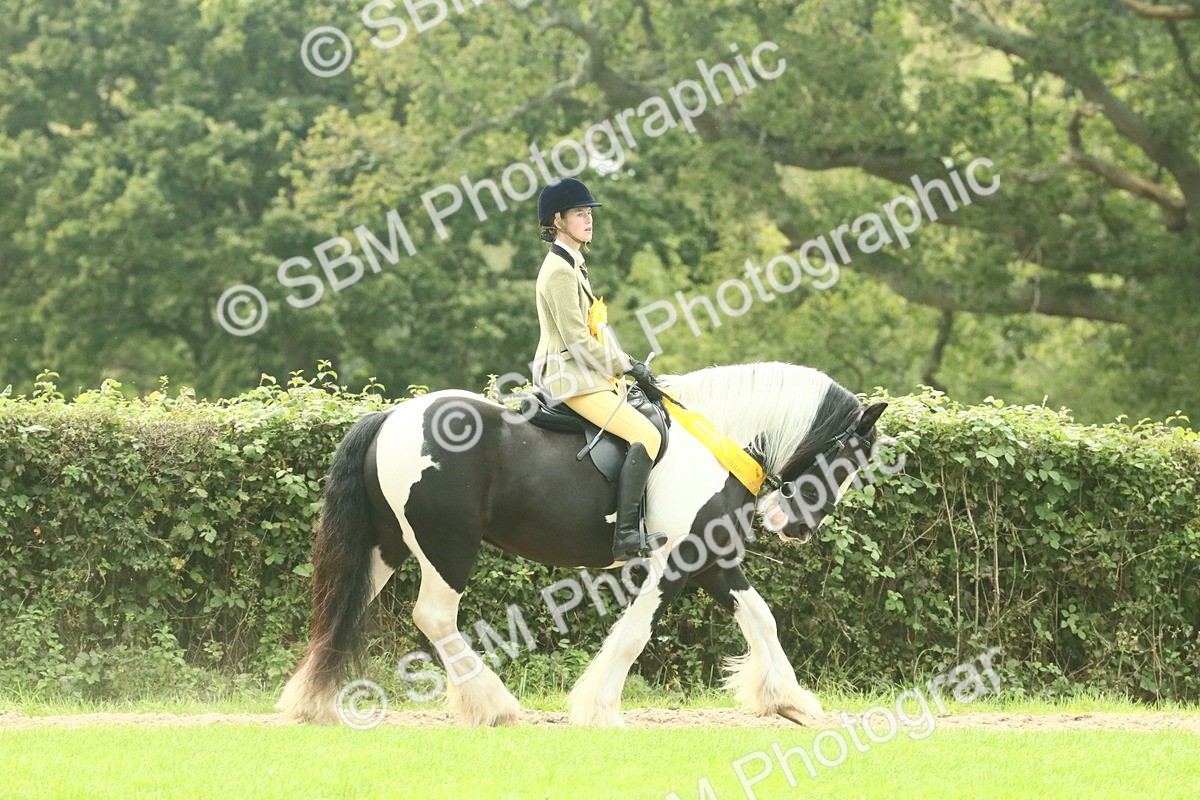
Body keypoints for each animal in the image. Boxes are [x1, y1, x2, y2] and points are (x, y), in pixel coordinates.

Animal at [278, 360, 888, 727]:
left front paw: (789, 700)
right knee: (433, 616)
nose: (796, 527)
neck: (715, 440)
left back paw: (314, 702)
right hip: (448, 546)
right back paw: (494, 706)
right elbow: (637, 631)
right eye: (849, 461)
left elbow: (760, 616)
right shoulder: (681, 558)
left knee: (345, 607)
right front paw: (599, 708)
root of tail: (392, 417)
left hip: (389, 545)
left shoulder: (712, 558)